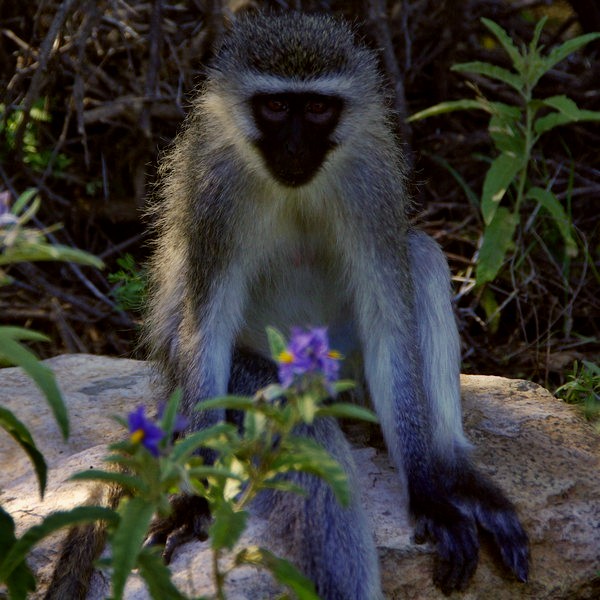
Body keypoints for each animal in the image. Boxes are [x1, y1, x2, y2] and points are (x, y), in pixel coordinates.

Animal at [45, 11, 529, 600]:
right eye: (275, 106)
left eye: (317, 108)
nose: (296, 148)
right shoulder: (216, 192)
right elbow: (206, 327)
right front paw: (191, 498)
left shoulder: (372, 179)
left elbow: (391, 325)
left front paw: (432, 496)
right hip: (252, 381)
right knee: (305, 441)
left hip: (351, 375)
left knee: (420, 254)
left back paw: (452, 472)